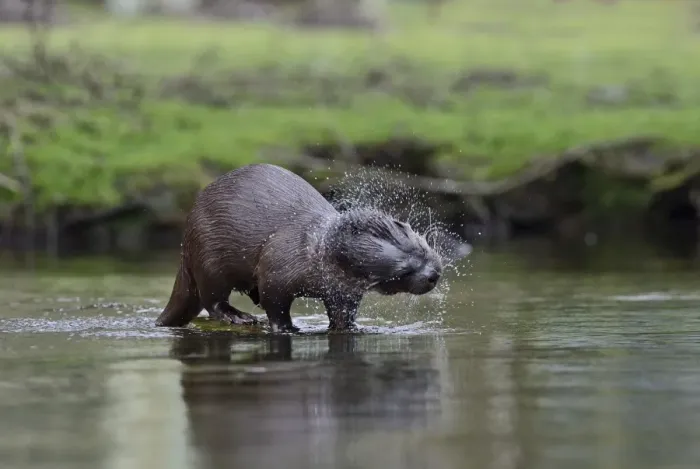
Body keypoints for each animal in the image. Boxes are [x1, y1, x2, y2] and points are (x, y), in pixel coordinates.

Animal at [155, 163, 468, 333]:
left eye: (424, 249)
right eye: (405, 264)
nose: (434, 275)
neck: (316, 253)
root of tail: (185, 244)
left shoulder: (344, 292)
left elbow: (342, 313)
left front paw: (351, 327)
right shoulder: (277, 269)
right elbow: (275, 304)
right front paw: (288, 328)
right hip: (208, 259)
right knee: (212, 300)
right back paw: (240, 317)